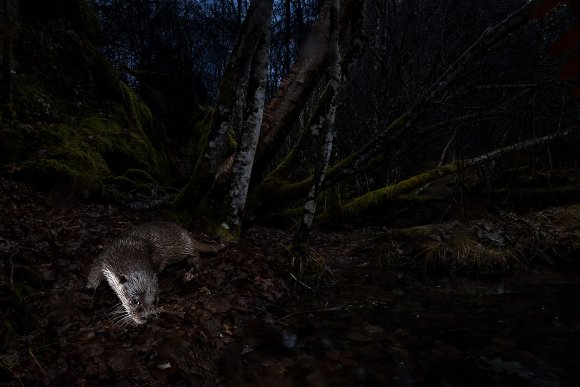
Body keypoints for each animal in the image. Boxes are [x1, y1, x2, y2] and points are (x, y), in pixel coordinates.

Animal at [87, 223, 223, 326]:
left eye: (156, 298)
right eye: (134, 301)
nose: (147, 317)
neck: (127, 250)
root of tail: (186, 233)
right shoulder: (104, 259)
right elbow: (94, 272)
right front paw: (89, 291)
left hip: (185, 248)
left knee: (196, 257)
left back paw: (191, 273)